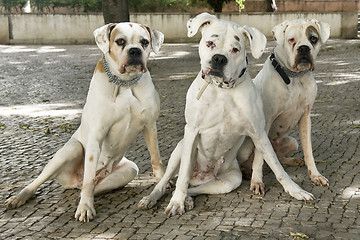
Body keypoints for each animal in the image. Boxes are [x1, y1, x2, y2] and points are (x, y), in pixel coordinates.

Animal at [4, 22, 165, 221]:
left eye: (144, 42)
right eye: (120, 41)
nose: (135, 50)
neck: (125, 83)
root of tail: (75, 181)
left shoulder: (150, 125)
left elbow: (155, 157)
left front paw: (162, 185)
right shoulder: (96, 135)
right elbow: (89, 177)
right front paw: (85, 208)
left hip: (129, 170)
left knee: (91, 185)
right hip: (71, 150)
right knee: (54, 180)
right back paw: (20, 197)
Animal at [139, 12, 314, 217]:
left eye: (235, 49)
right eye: (210, 43)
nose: (218, 59)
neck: (222, 90)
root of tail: (201, 176)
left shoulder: (259, 134)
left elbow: (276, 165)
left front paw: (296, 190)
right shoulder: (192, 131)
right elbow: (182, 176)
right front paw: (176, 202)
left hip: (229, 181)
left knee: (193, 188)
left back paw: (188, 198)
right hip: (179, 150)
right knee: (168, 181)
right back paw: (153, 198)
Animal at [238, 18, 330, 195]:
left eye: (313, 39)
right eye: (291, 40)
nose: (304, 48)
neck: (294, 77)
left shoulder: (305, 118)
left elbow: (308, 151)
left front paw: (315, 175)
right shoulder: (265, 122)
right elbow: (259, 157)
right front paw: (257, 181)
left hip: (292, 142)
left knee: (277, 158)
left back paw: (292, 161)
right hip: (245, 147)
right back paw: (246, 172)